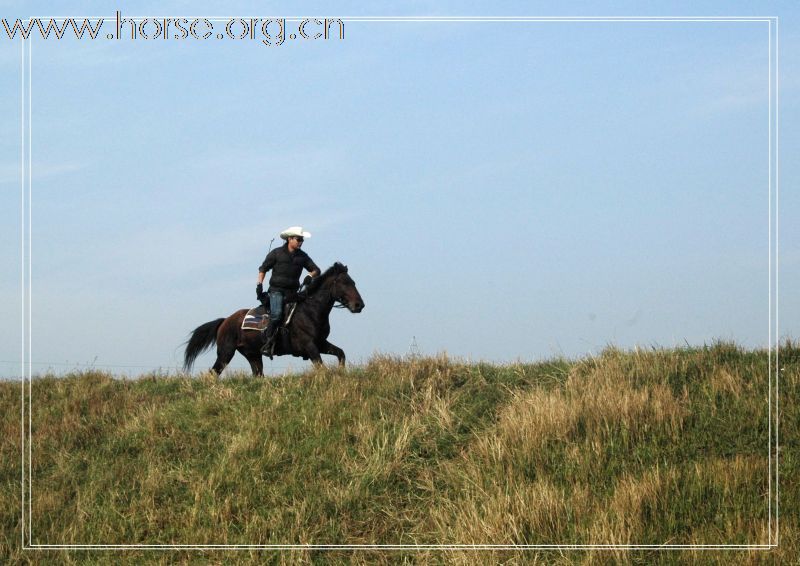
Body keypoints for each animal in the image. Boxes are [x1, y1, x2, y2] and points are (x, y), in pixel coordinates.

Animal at [183, 266, 364, 378]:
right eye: (345, 283)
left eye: (353, 282)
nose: (359, 305)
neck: (311, 310)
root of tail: (225, 321)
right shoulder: (310, 346)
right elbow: (321, 366)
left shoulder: (321, 343)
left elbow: (340, 354)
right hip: (226, 353)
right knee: (214, 372)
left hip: (253, 355)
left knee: (258, 375)